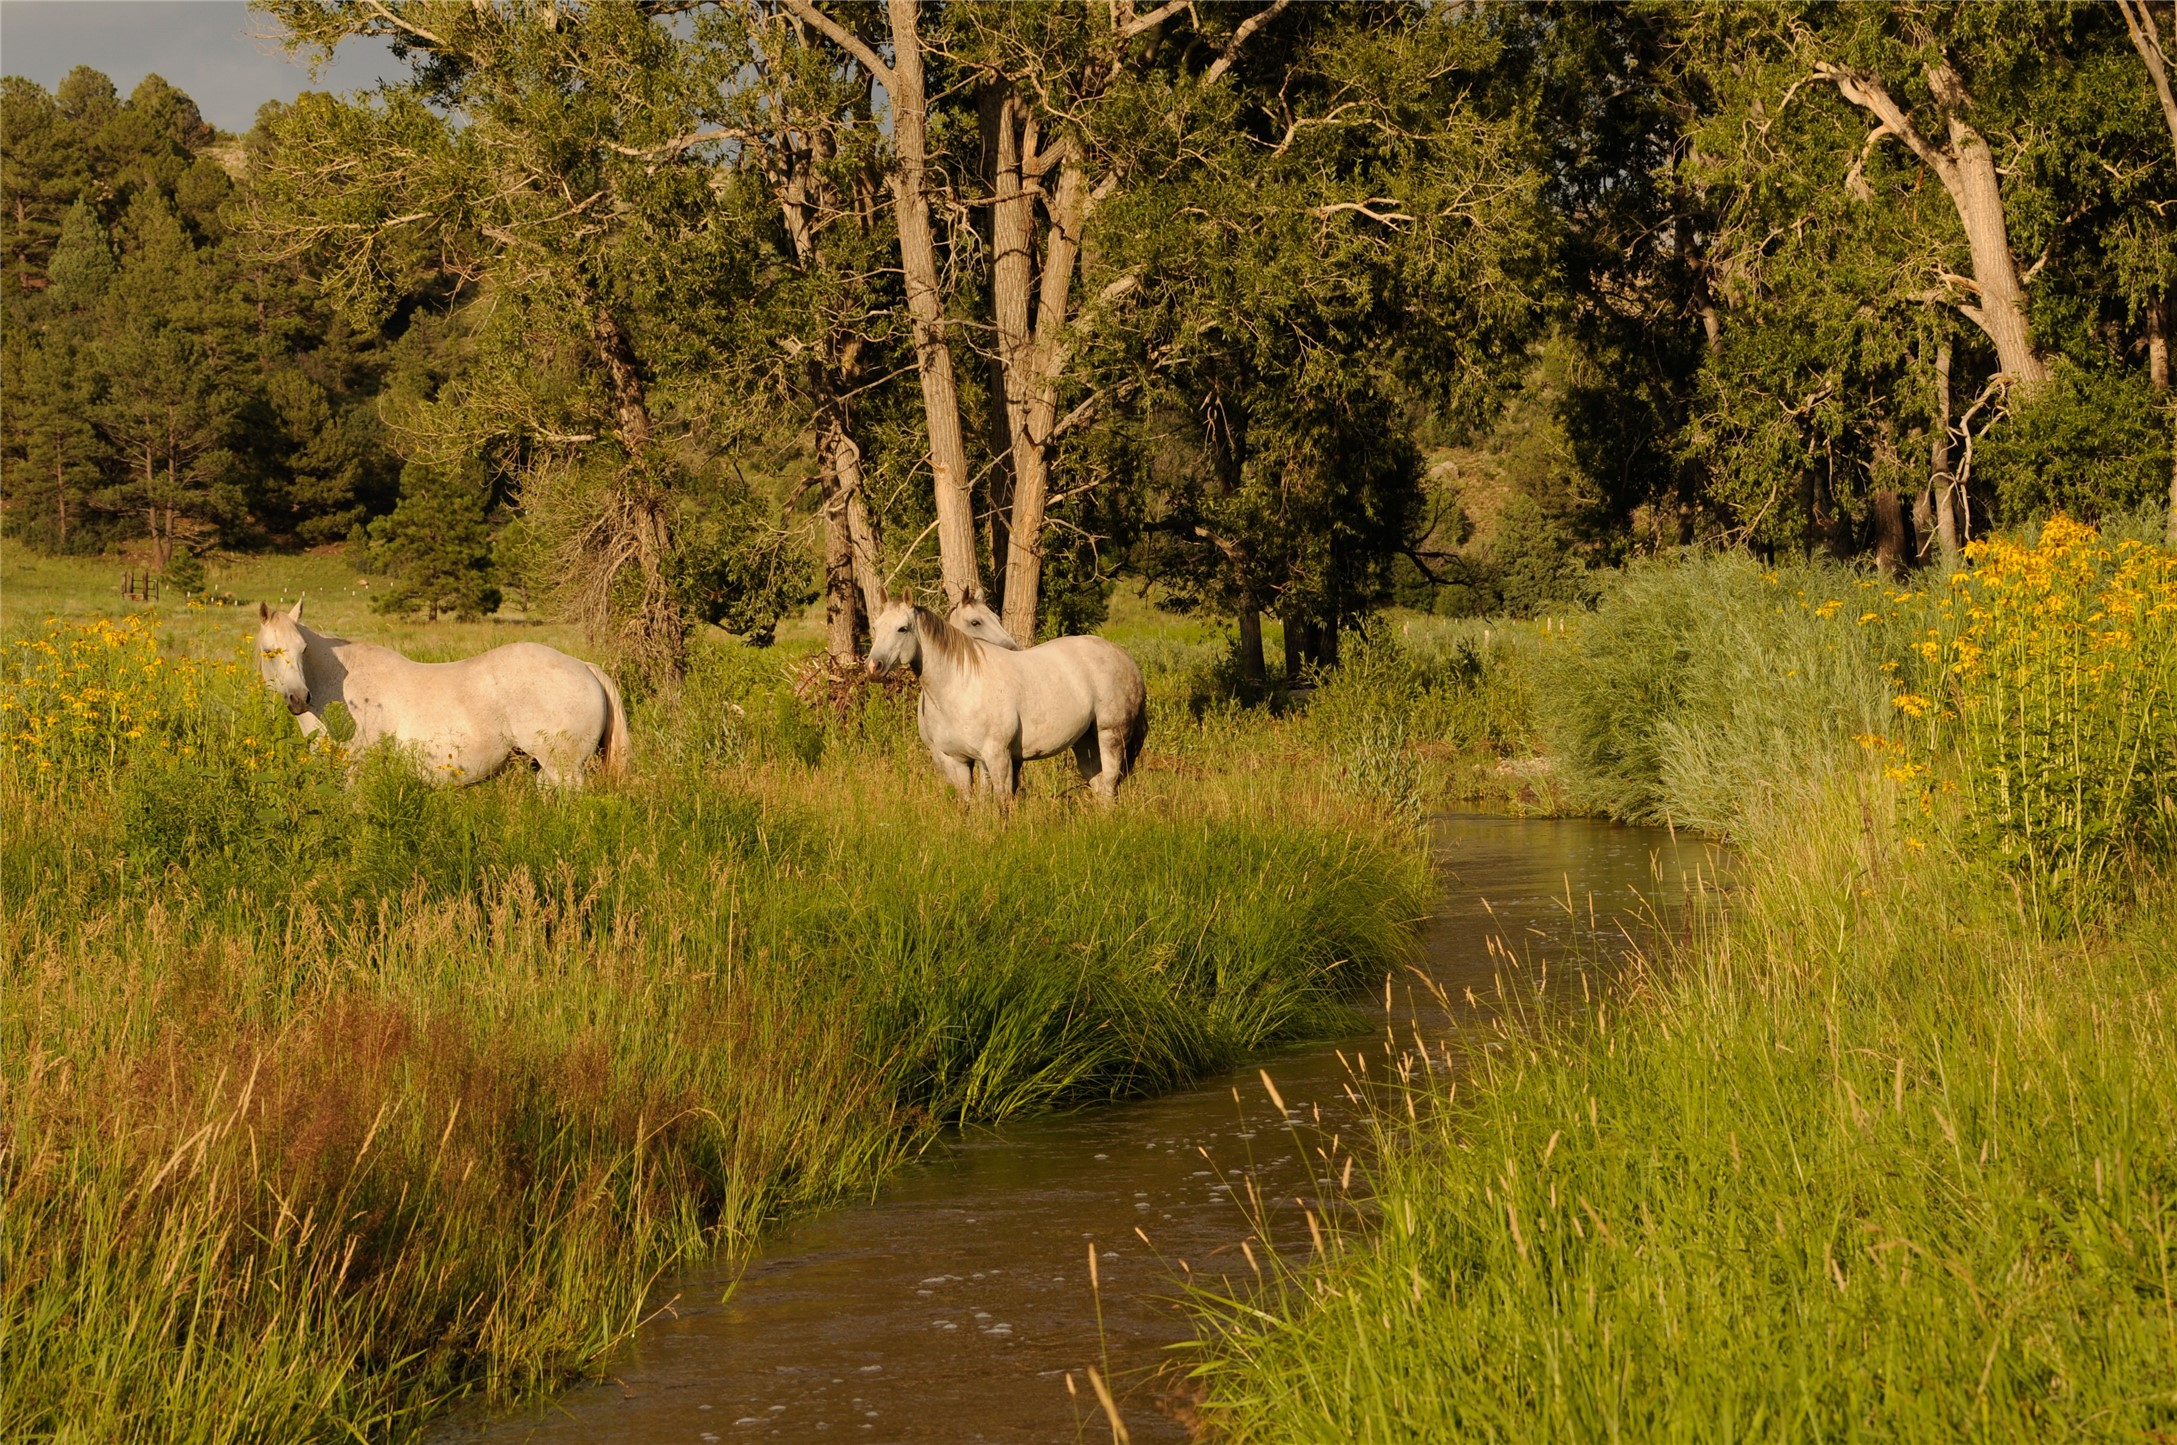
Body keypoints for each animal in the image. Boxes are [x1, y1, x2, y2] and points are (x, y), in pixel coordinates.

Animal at [256, 596, 631, 792]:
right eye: (268, 651)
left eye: (303, 649)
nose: (299, 699)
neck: (342, 692)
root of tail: (585, 666)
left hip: (564, 769)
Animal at [862, 596, 1149, 800]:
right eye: (875, 627)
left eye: (903, 629)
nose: (874, 666)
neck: (959, 688)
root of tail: (1125, 659)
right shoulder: (955, 760)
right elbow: (971, 803)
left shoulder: (997, 756)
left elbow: (1001, 802)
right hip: (1085, 741)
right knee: (1099, 785)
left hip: (1111, 735)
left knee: (1109, 784)